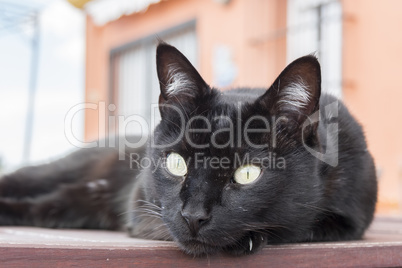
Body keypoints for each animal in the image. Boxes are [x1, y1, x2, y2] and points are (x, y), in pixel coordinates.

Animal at [0, 43, 376, 256]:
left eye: (247, 174)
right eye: (177, 164)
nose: (193, 215)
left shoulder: (350, 218)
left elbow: (299, 225)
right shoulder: (142, 206)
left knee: (50, 206)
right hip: (55, 173)